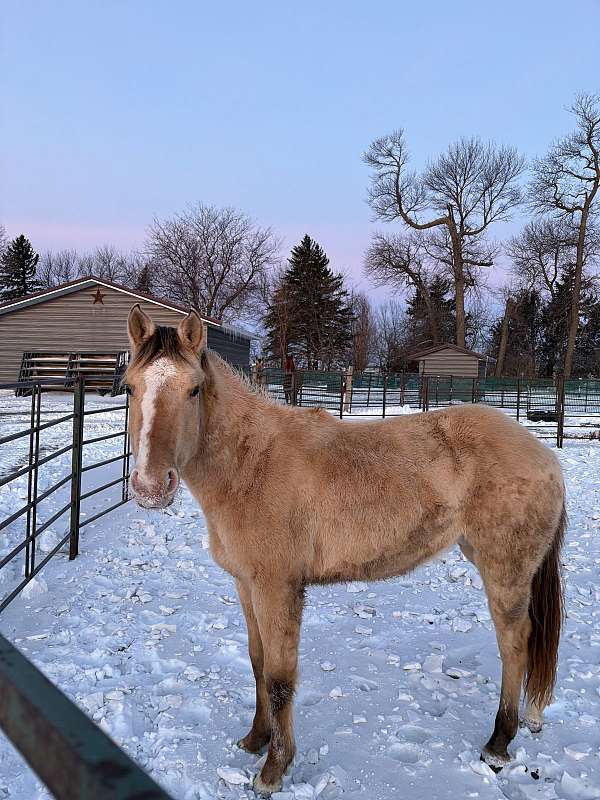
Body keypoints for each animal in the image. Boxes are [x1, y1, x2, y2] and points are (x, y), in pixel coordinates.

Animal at [125, 305, 565, 794]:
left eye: (193, 389)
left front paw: (274, 769)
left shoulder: (278, 589)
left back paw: (499, 742)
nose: (149, 487)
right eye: (130, 386)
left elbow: (279, 678)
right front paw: (255, 739)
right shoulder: (246, 585)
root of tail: (545, 456)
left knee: (515, 643)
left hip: (505, 571)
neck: (250, 464)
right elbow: (258, 663)